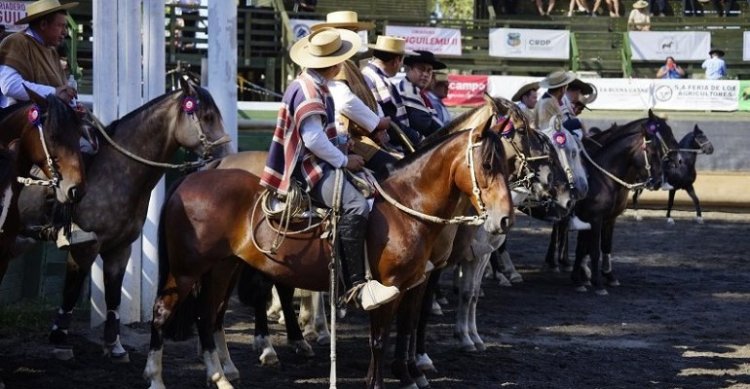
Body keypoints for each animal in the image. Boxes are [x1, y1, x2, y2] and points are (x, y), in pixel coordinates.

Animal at [143, 118, 516, 388]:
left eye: (508, 164)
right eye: (487, 164)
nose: (505, 219)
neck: (406, 205)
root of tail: (190, 180)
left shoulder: (414, 283)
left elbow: (406, 329)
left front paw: (409, 376)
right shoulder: (388, 288)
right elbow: (379, 339)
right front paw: (380, 382)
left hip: (223, 267)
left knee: (208, 316)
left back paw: (221, 377)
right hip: (187, 270)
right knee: (163, 312)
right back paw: (157, 378)